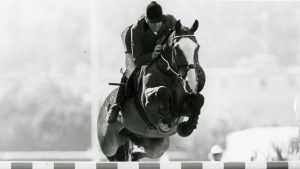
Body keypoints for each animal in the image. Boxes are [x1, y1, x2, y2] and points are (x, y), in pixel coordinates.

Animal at [98, 19, 206, 161]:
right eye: (177, 49)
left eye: (197, 47)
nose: (192, 83)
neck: (170, 75)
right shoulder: (147, 104)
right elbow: (162, 91)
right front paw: (166, 118)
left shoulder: (183, 108)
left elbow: (199, 99)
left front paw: (187, 127)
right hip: (109, 144)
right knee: (114, 153)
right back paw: (113, 114)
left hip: (159, 144)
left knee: (144, 151)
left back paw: (135, 153)